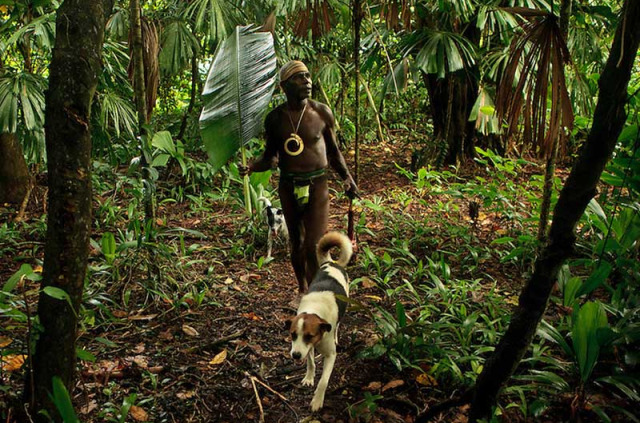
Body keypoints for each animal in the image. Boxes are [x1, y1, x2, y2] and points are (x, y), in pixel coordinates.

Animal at [286, 230, 352, 412]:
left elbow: (323, 381)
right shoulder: (307, 349)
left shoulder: (330, 355)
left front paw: (317, 401)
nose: (295, 355)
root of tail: (331, 263)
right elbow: (311, 363)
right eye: (293, 335)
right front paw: (309, 378)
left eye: (309, 336)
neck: (314, 311)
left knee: (338, 325)